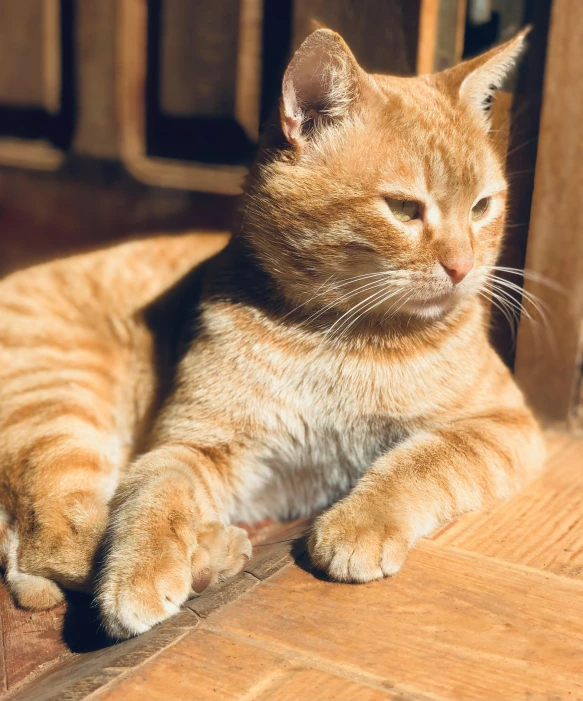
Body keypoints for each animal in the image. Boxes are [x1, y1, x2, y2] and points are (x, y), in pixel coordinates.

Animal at [1, 30, 548, 636]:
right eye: (405, 208)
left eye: (482, 207)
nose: (462, 267)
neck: (338, 335)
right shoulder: (196, 445)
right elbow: (152, 495)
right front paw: (140, 572)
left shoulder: (500, 424)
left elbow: (420, 462)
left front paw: (358, 523)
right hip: (63, 406)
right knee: (55, 539)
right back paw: (208, 554)